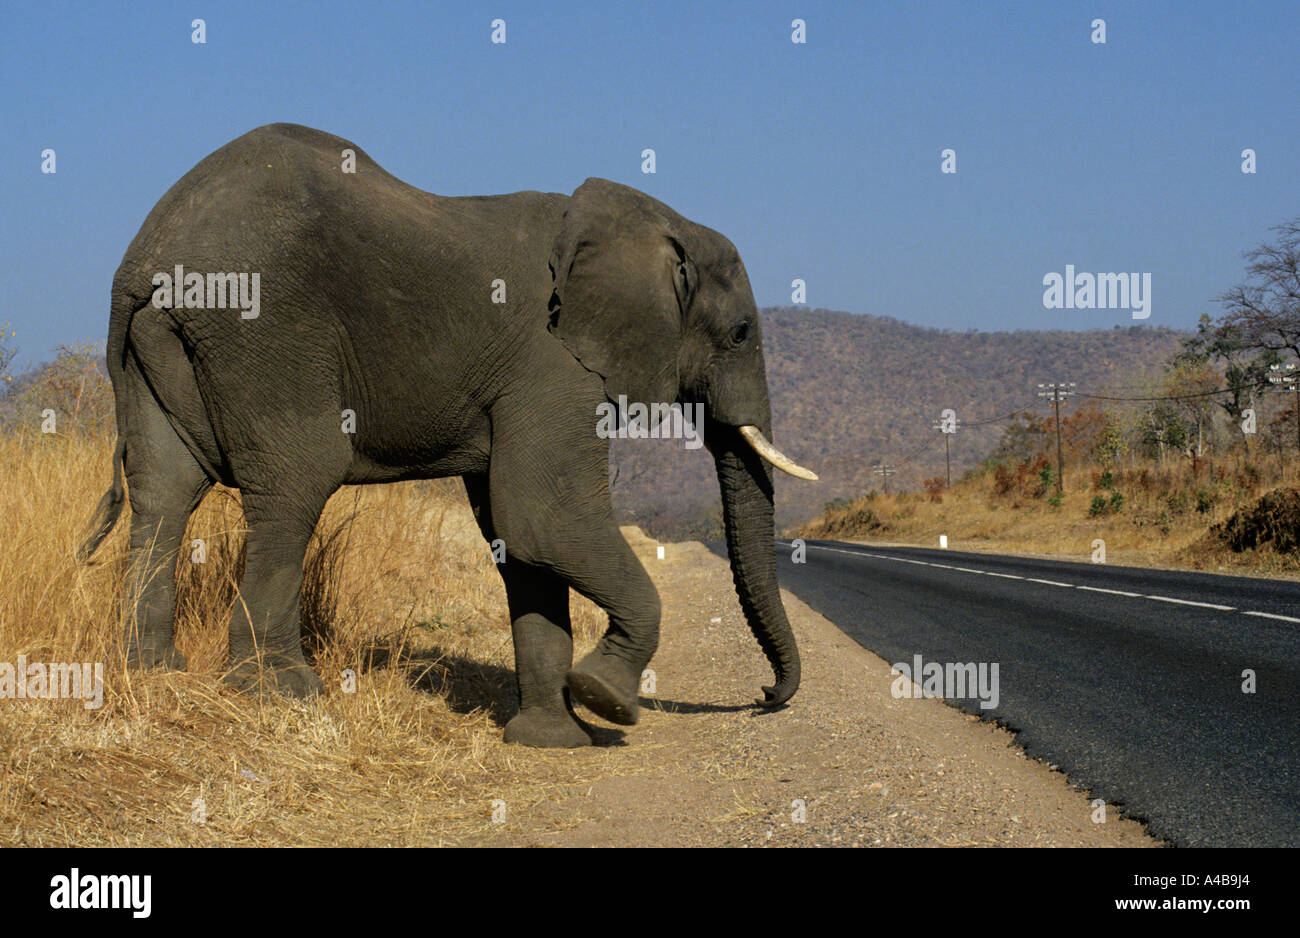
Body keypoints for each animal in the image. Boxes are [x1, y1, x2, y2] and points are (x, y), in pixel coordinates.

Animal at [78, 123, 818, 748]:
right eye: (741, 334)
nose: (766, 694)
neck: (653, 224)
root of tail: (145, 258)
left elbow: (520, 540)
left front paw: (552, 740)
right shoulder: (551, 362)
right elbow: (546, 521)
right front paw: (605, 697)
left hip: (158, 349)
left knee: (166, 492)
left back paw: (154, 669)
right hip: (259, 323)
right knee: (294, 481)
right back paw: (280, 692)